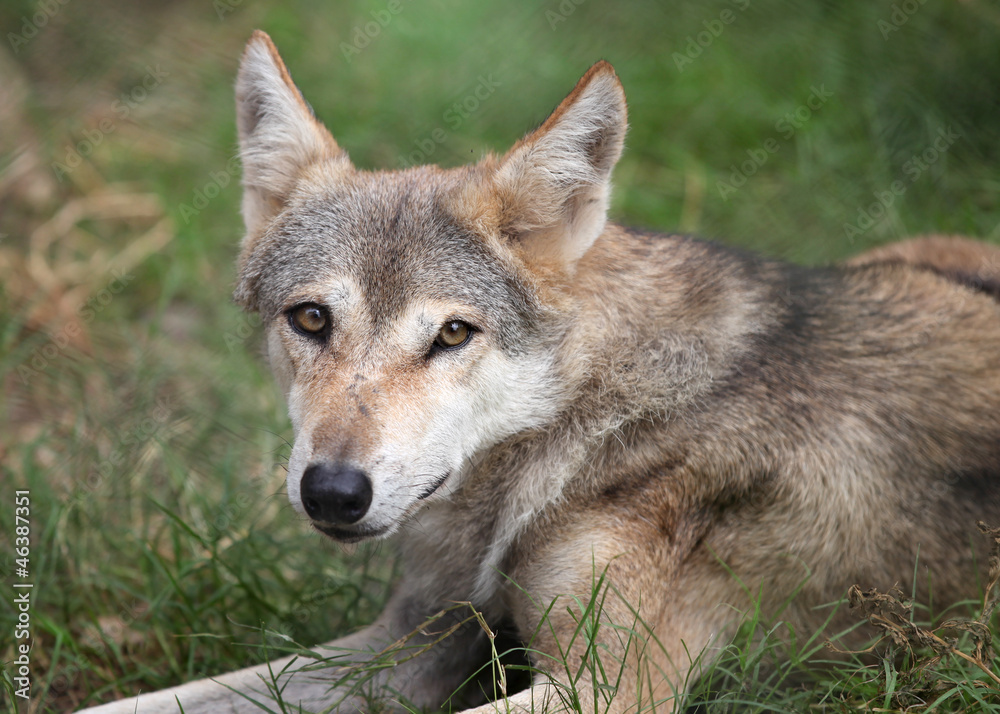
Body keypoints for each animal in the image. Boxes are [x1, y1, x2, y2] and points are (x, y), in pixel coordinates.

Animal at [84, 32, 1000, 712]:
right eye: (311, 319)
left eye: (453, 334)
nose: (333, 493)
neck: (590, 429)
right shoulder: (416, 640)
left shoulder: (610, 686)